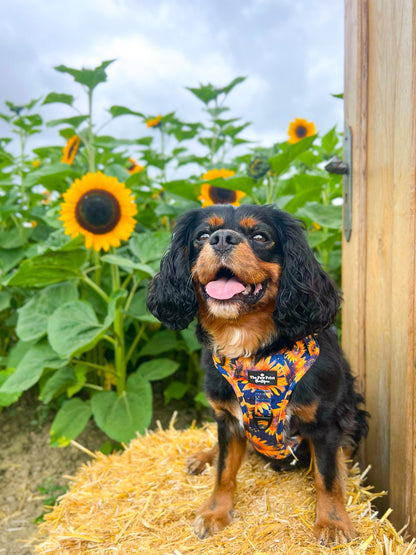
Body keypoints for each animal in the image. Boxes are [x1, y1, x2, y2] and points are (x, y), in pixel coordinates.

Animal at [146, 204, 368, 548]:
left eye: (261, 236)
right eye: (203, 236)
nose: (222, 239)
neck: (253, 351)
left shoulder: (326, 424)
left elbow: (328, 477)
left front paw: (332, 522)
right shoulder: (227, 417)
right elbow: (224, 471)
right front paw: (215, 512)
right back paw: (204, 456)